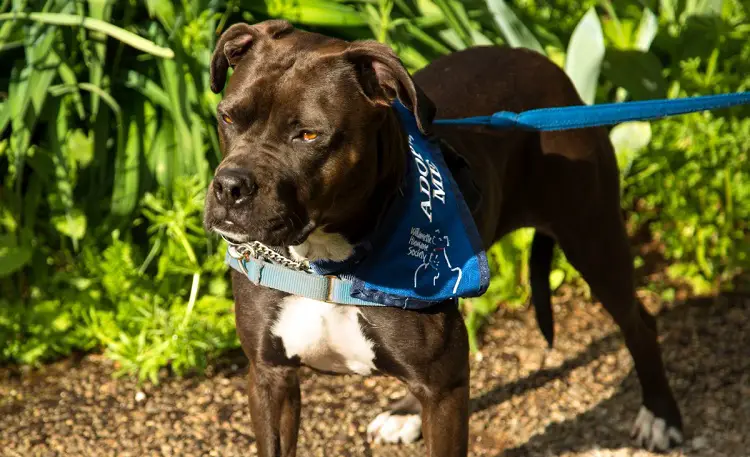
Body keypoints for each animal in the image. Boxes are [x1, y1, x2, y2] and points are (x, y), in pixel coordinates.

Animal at [203, 18, 684, 456]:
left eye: (307, 135)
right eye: (227, 116)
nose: (230, 187)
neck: (326, 265)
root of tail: (551, 71)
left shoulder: (446, 391)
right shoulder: (270, 377)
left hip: (593, 238)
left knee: (639, 322)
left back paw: (661, 418)